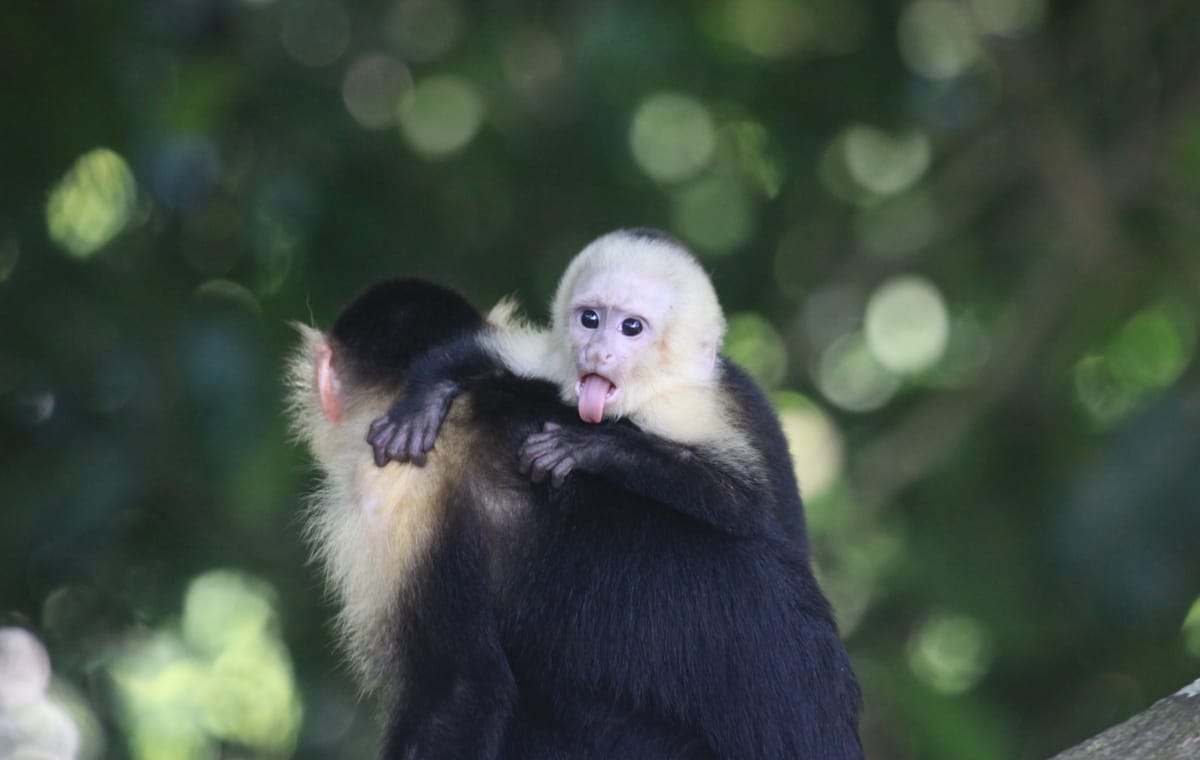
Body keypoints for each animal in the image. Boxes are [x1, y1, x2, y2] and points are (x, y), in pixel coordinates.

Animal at [365, 229, 864, 758]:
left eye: (630, 328)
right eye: (590, 318)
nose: (598, 353)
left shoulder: (687, 407)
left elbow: (739, 502)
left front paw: (592, 447)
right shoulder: (555, 365)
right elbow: (478, 354)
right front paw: (425, 399)